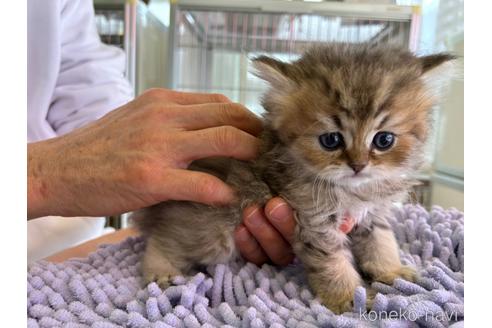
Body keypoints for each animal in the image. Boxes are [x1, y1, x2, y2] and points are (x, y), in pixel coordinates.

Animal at [132, 43, 454, 312]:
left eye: (384, 140)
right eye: (331, 140)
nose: (358, 166)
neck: (355, 191)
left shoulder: (374, 214)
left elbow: (383, 242)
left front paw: (391, 271)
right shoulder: (314, 221)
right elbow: (333, 263)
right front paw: (350, 298)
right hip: (212, 231)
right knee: (163, 239)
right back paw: (160, 271)